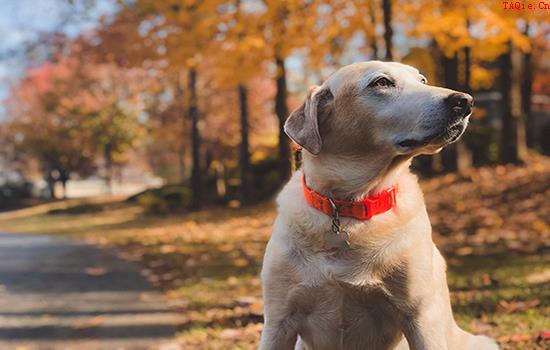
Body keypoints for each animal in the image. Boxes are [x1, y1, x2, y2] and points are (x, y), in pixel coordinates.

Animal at [258, 61, 500, 348]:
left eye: (422, 80)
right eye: (382, 82)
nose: (465, 101)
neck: (350, 205)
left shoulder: (420, 317)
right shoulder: (278, 321)